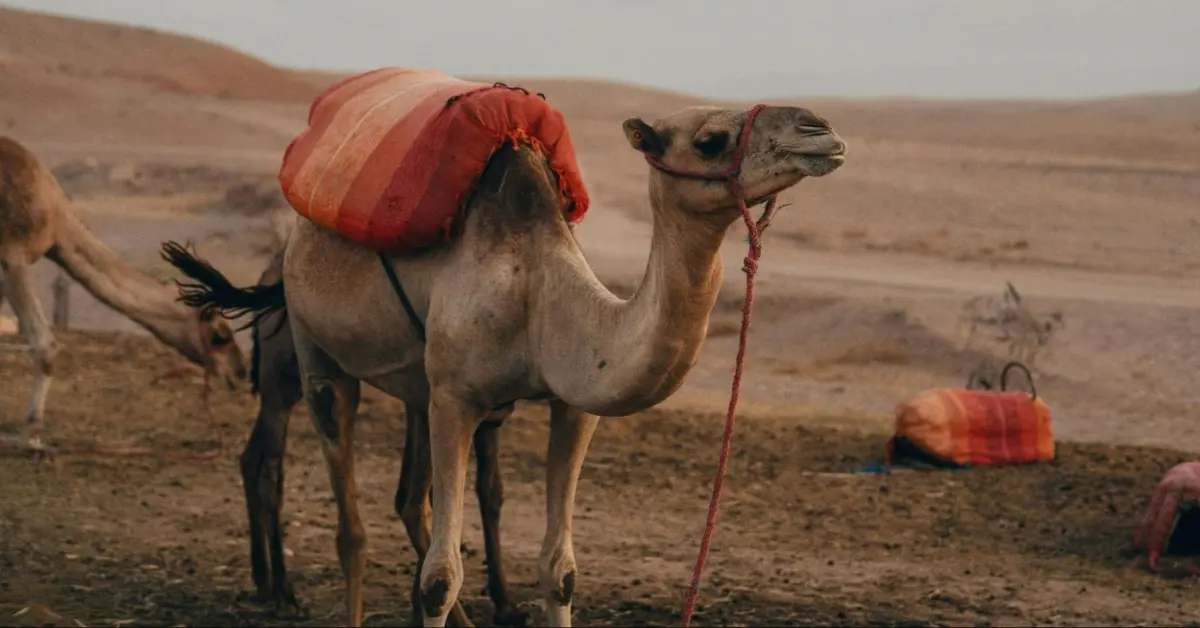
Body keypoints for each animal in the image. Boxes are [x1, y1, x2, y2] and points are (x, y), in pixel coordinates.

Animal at [0, 136, 248, 454]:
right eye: (220, 334)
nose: (239, 373)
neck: (57, 222)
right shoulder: (12, 255)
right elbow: (45, 344)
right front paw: (30, 438)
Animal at [241, 248, 527, 626]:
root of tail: (269, 277)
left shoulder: (474, 408)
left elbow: (486, 491)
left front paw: (503, 602)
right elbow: (423, 496)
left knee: (250, 458)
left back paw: (263, 580)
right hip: (282, 381)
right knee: (271, 474)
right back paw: (285, 595)